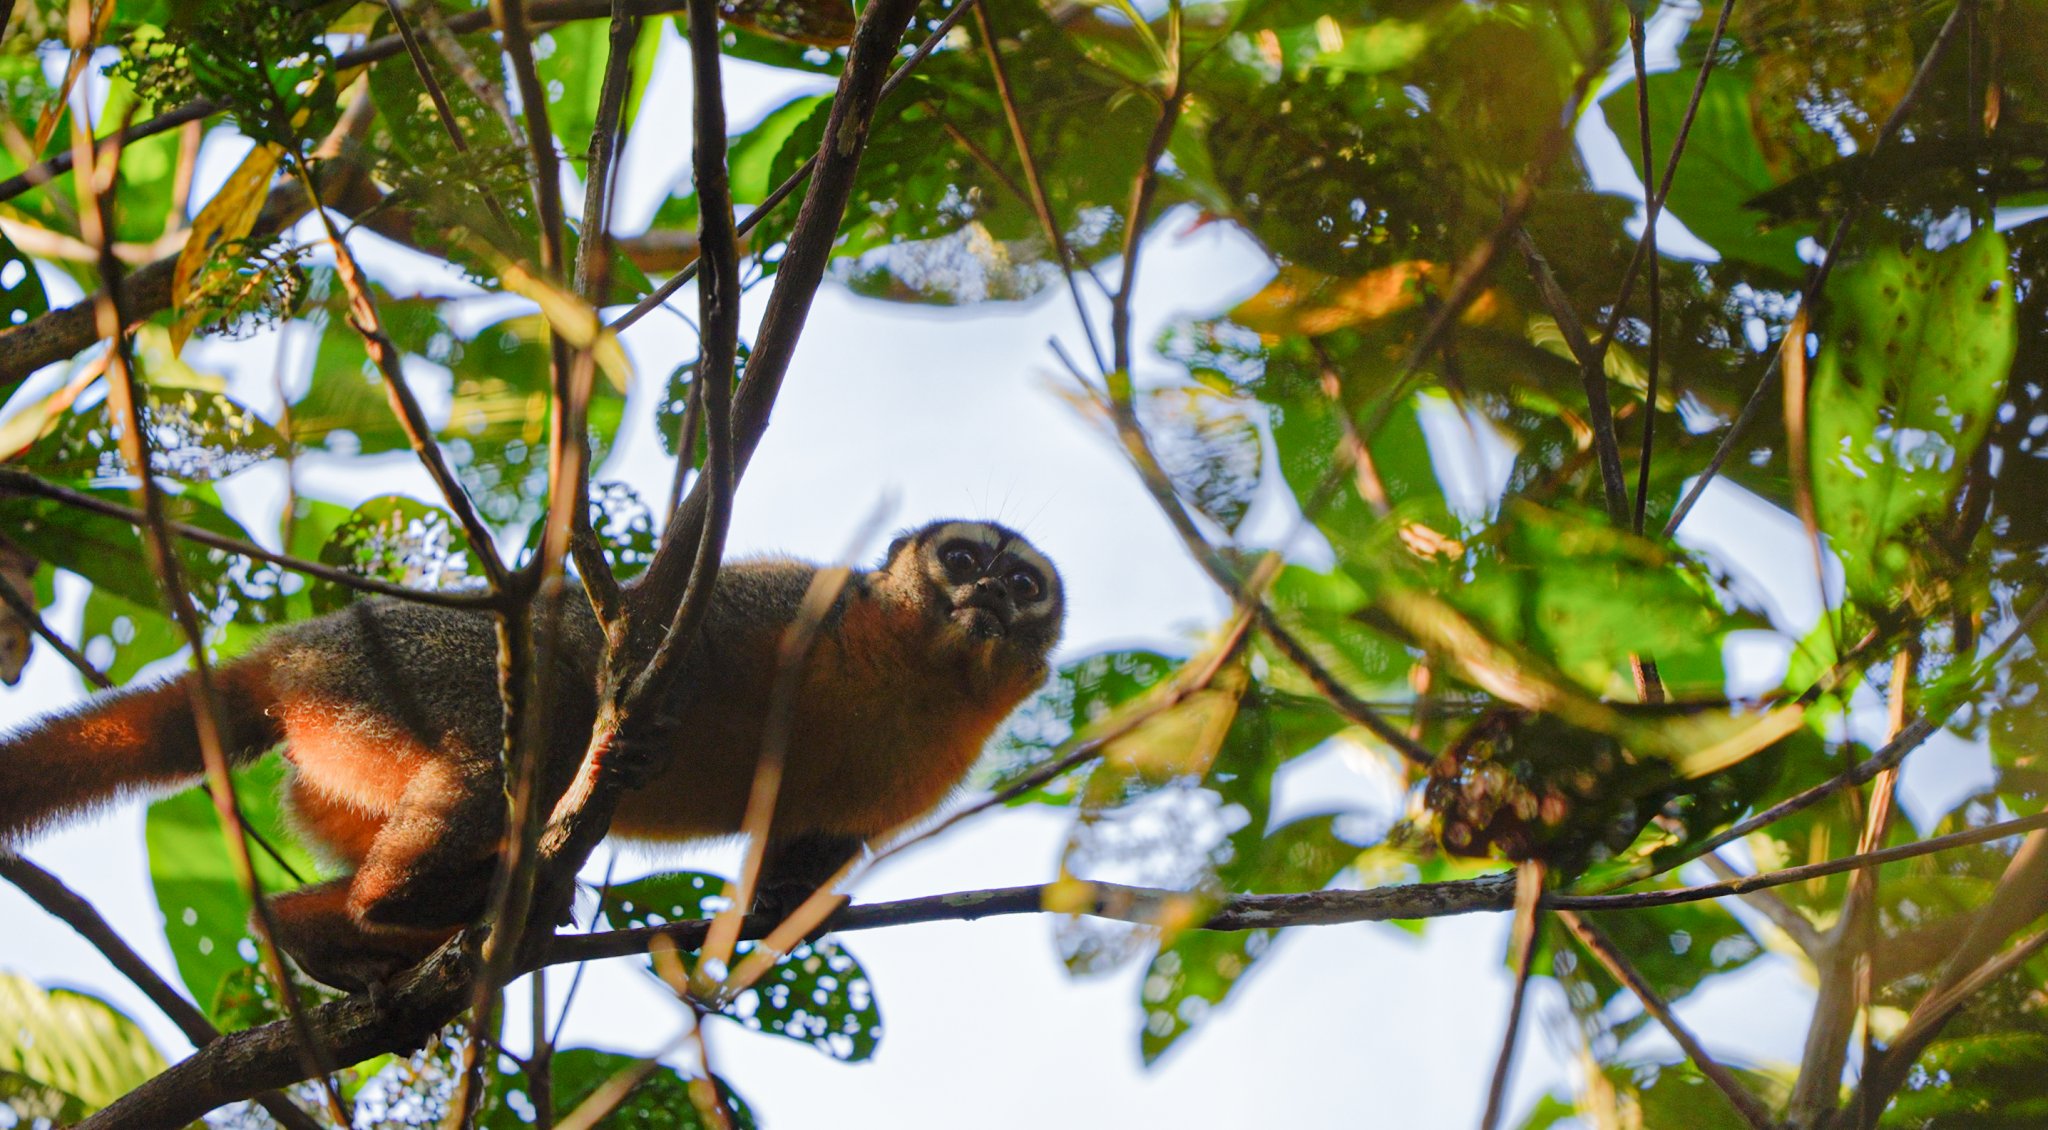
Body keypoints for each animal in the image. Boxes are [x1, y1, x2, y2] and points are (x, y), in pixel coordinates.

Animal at [0, 520, 1063, 990]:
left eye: (1024, 584)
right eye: (962, 559)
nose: (990, 595)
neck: (915, 671)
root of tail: (293, 652)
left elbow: (816, 847)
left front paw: (772, 913)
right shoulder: (800, 597)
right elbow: (652, 620)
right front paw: (642, 705)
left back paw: (318, 935)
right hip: (406, 673)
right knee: (533, 733)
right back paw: (412, 901)